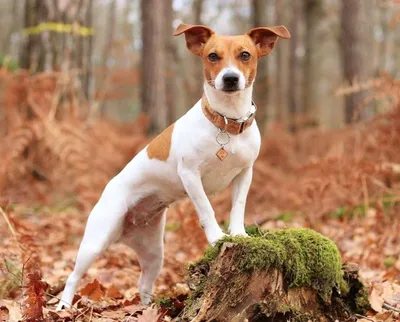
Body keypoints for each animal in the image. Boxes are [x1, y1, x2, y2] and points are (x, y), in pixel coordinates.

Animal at [56, 22, 290, 310]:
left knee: (144, 282)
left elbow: (238, 206)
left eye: (245, 55)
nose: (230, 78)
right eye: (213, 56)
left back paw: (147, 309)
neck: (226, 123)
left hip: (154, 252)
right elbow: (206, 209)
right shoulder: (190, 174)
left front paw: (238, 233)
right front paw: (217, 237)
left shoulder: (245, 173)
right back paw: (64, 306)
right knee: (73, 276)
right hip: (96, 240)